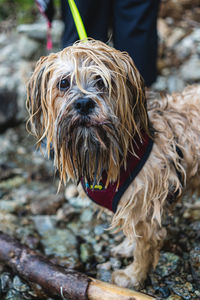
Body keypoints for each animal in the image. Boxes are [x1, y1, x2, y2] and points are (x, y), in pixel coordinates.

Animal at [26, 39, 200, 288]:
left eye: (101, 82)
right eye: (63, 83)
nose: (84, 103)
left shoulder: (143, 207)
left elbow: (144, 247)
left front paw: (133, 276)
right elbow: (132, 234)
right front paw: (127, 248)